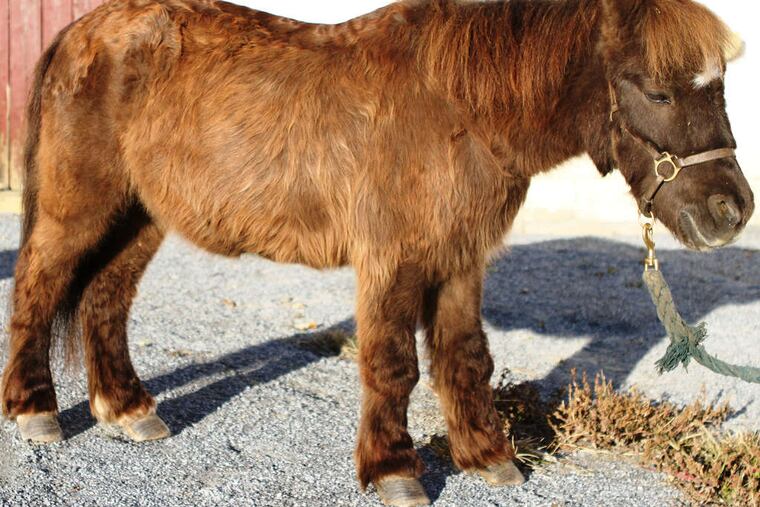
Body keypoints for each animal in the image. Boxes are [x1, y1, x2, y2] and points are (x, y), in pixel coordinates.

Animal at [1, 0, 754, 504]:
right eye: (656, 89)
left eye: (718, 84)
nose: (732, 211)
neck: (457, 109)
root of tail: (79, 31)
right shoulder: (393, 261)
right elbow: (393, 365)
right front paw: (394, 471)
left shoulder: (460, 260)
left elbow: (465, 357)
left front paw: (488, 457)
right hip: (81, 207)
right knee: (38, 287)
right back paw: (36, 411)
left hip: (142, 215)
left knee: (105, 299)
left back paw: (128, 410)